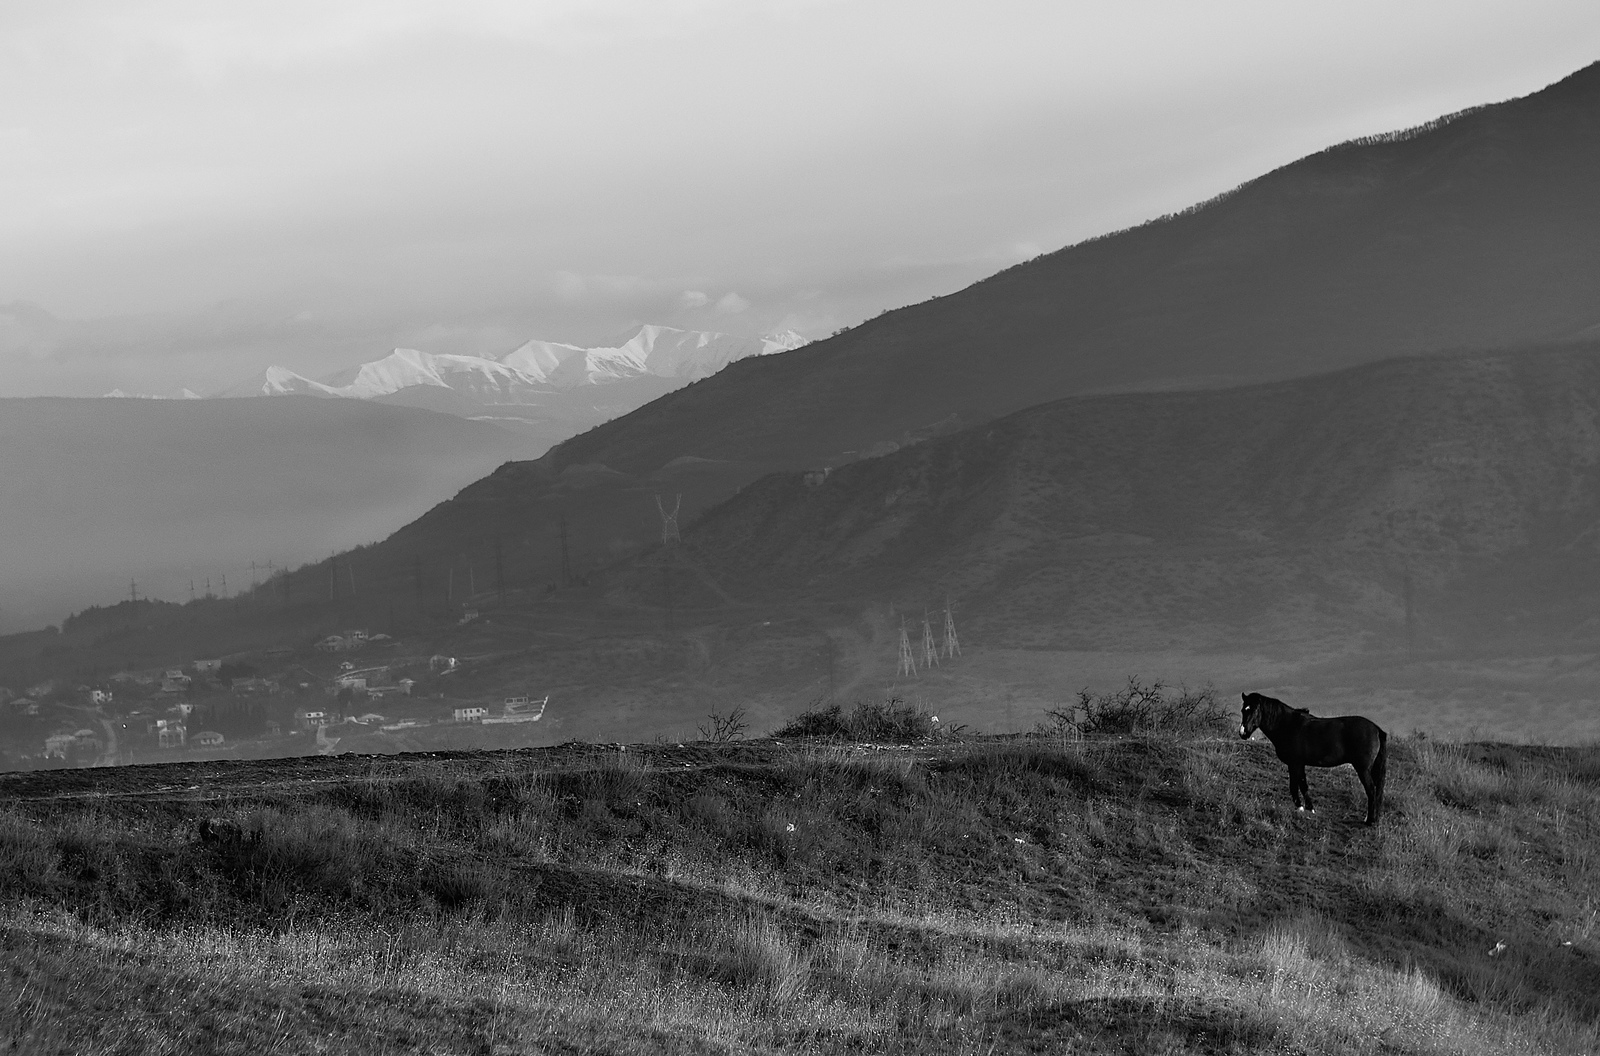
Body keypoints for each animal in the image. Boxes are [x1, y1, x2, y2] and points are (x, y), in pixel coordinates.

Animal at [1241, 694, 1382, 825]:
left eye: (1254, 710)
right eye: (1243, 710)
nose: (1243, 733)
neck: (1288, 725)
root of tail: (1376, 729)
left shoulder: (1294, 763)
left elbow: (1294, 785)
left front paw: (1300, 807)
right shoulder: (1300, 764)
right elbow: (1303, 784)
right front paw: (1310, 808)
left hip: (1363, 769)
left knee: (1371, 790)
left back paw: (1369, 820)